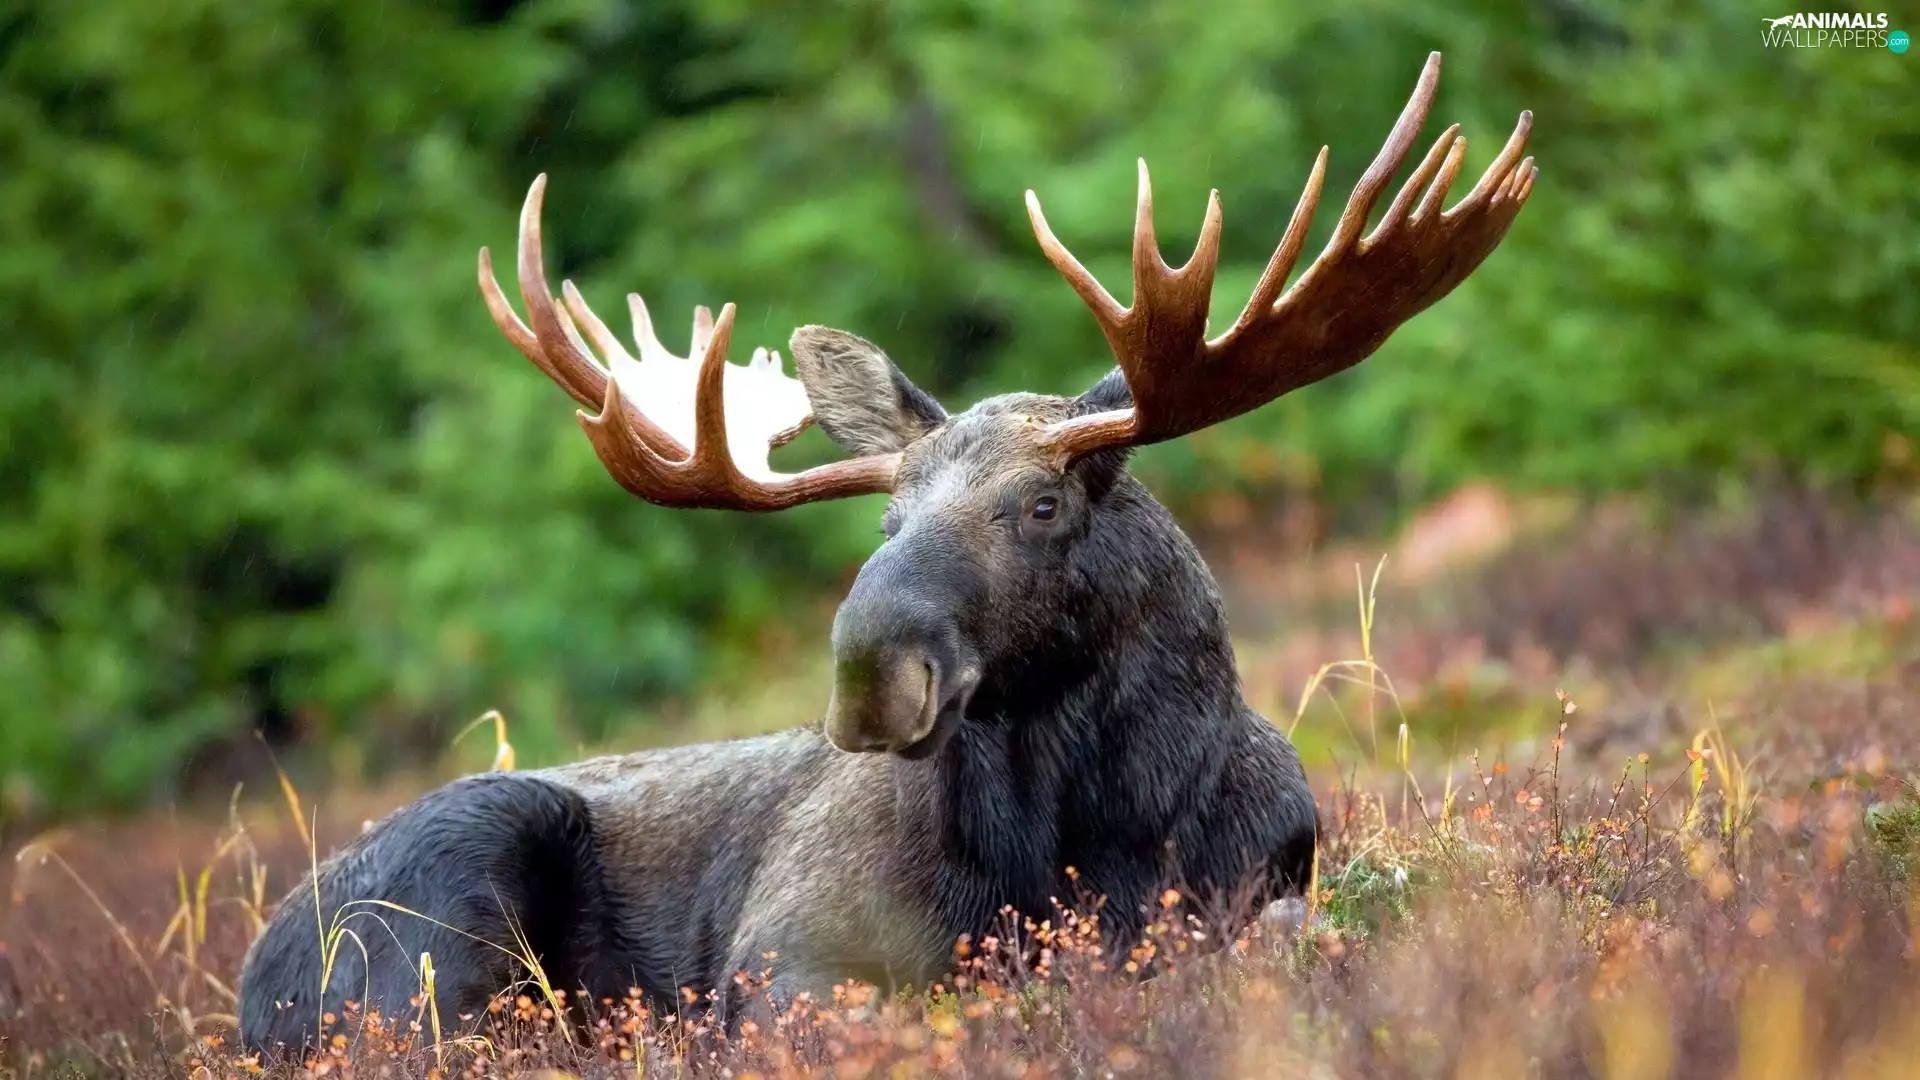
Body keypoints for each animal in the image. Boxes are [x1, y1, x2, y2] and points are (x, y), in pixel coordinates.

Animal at [236, 52, 1535, 1055]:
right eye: (885, 522)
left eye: (1042, 505)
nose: (871, 671)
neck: (1095, 835)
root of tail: (251, 982)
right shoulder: (785, 956)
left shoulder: (1266, 887)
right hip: (447, 899)